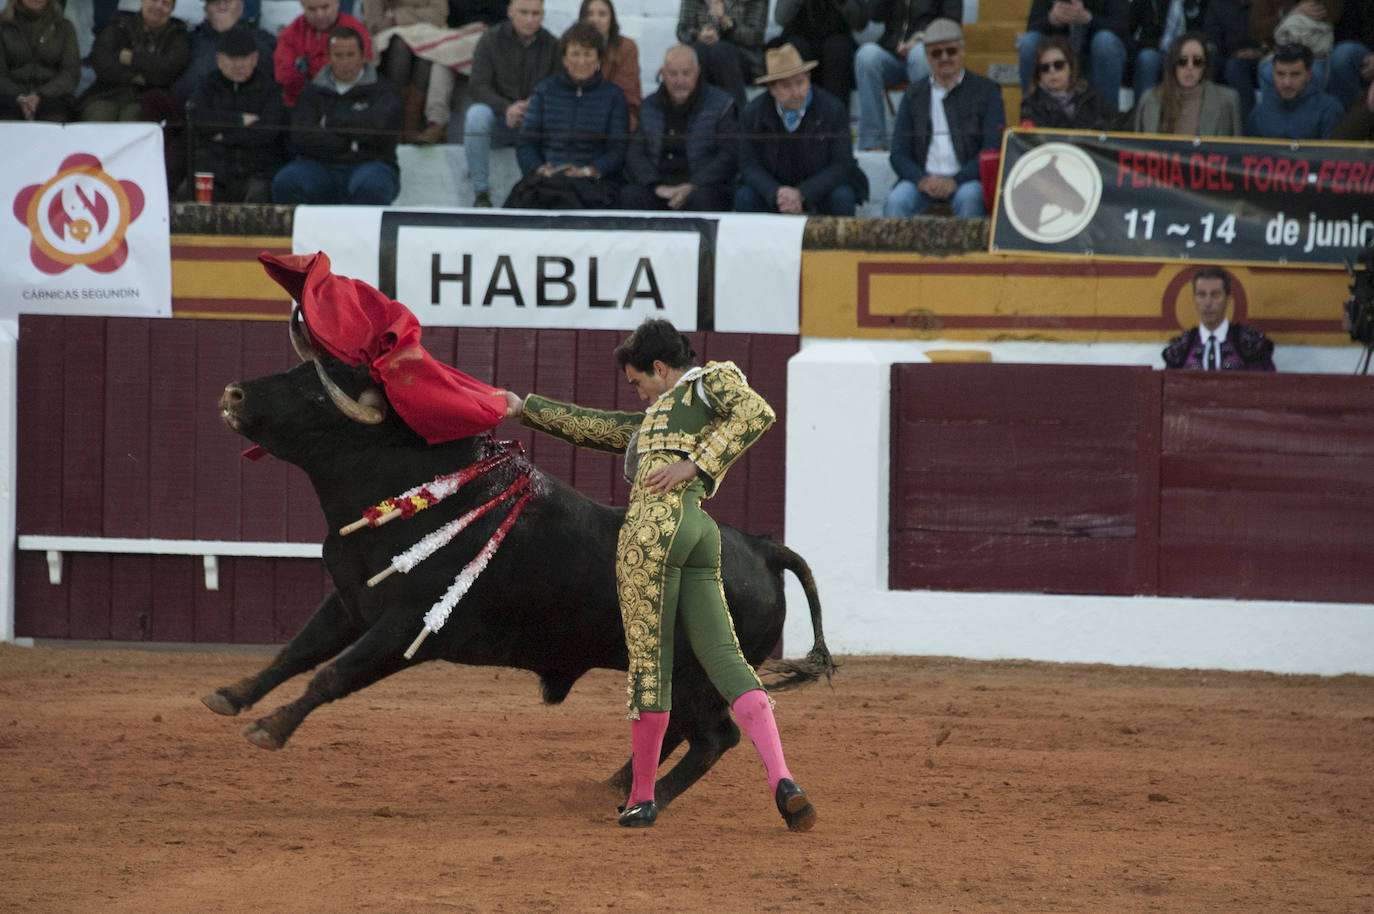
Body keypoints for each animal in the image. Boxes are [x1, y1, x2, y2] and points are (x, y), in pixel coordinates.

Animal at [201, 331, 824, 802]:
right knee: (677, 725)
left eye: (315, 396)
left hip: (703, 672)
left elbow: (332, 673)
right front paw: (230, 696)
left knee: (715, 735)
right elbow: (297, 652)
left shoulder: (409, 628)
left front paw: (270, 729)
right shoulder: (353, 601)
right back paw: (618, 784)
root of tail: (762, 546)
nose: (232, 392)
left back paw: (649, 799)